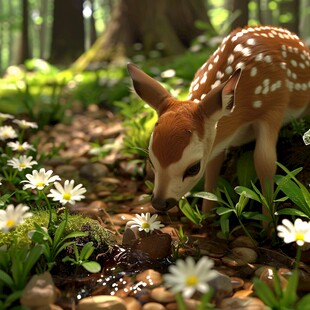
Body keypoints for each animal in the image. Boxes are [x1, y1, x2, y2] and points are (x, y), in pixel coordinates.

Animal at [126, 25, 310, 216]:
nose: (160, 202)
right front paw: (207, 214)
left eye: (193, 168)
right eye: (151, 161)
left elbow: (264, 161)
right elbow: (213, 166)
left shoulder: (275, 106)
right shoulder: (215, 141)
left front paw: (268, 221)